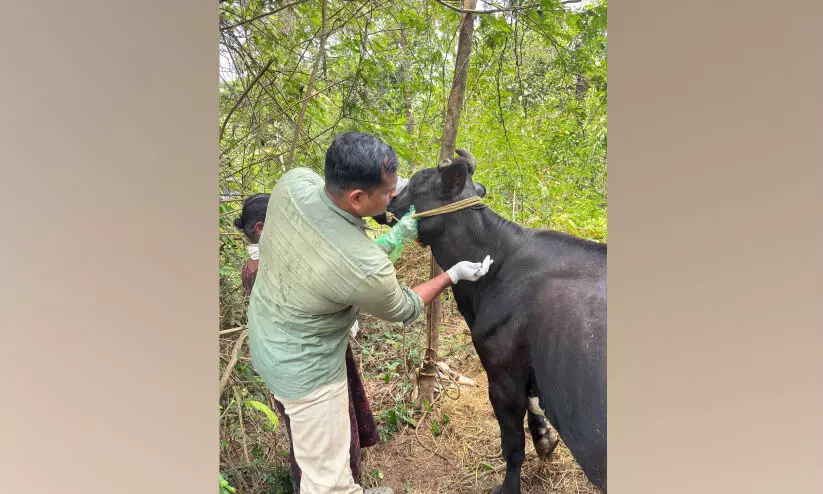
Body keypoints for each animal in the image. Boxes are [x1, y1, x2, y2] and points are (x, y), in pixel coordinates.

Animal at [383, 150, 607, 493]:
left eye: (418, 182)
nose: (389, 201)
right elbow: (534, 410)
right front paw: (545, 440)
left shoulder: (502, 376)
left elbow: (512, 445)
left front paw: (508, 486)